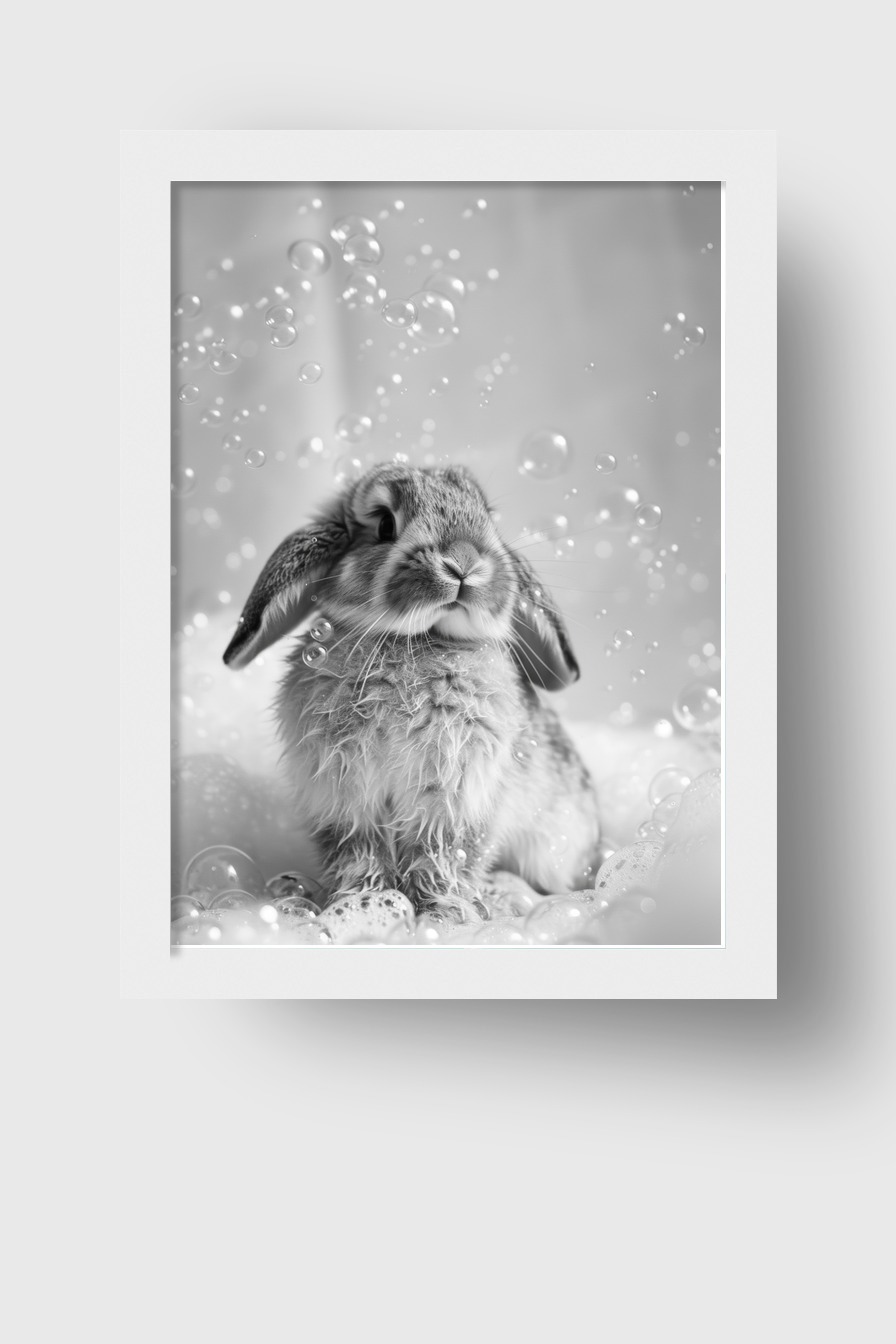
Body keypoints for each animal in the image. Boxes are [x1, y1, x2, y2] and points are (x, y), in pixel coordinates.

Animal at [223, 462, 600, 923]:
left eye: (488, 519)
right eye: (384, 524)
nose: (463, 562)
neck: (416, 641)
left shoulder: (453, 800)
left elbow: (441, 855)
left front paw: (444, 913)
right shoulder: (345, 799)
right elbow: (360, 853)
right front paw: (362, 904)